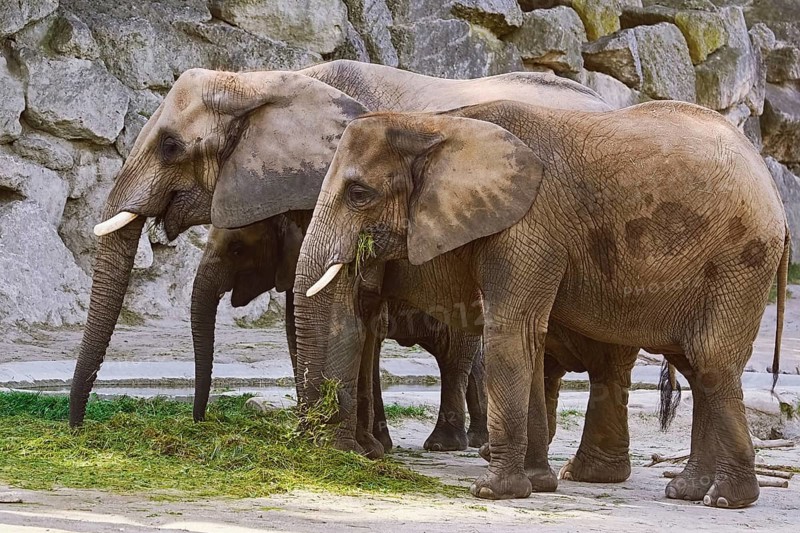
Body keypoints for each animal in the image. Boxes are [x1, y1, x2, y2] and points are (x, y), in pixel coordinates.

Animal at [69, 58, 614, 447]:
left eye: (170, 147)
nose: (76, 428)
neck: (263, 81)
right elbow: (309, 310)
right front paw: (346, 439)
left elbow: (341, 309)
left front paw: (353, 446)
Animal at [293, 100, 790, 508]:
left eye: (359, 194)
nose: (333, 449)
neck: (436, 123)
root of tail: (771, 184)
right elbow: (530, 339)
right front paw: (536, 485)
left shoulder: (528, 225)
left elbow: (510, 332)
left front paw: (493, 492)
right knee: (694, 365)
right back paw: (685, 491)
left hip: (739, 260)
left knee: (711, 361)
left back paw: (725, 499)